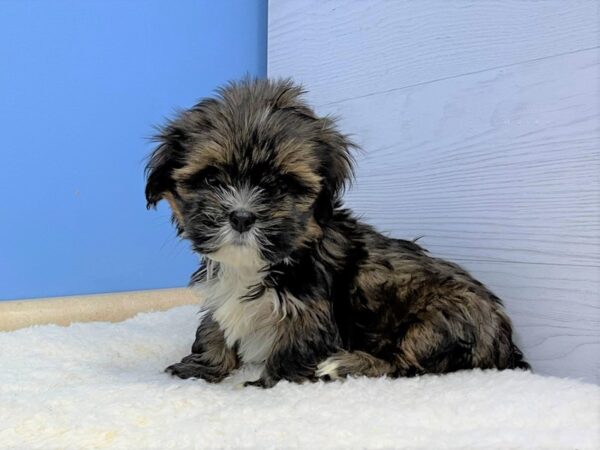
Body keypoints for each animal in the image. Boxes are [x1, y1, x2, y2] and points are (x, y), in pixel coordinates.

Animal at [146, 78, 528, 386]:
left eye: (281, 185)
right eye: (211, 179)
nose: (241, 216)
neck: (255, 264)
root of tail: (506, 346)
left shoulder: (309, 309)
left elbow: (294, 348)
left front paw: (270, 383)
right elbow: (214, 326)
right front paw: (203, 367)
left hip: (440, 320)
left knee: (405, 365)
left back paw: (342, 365)